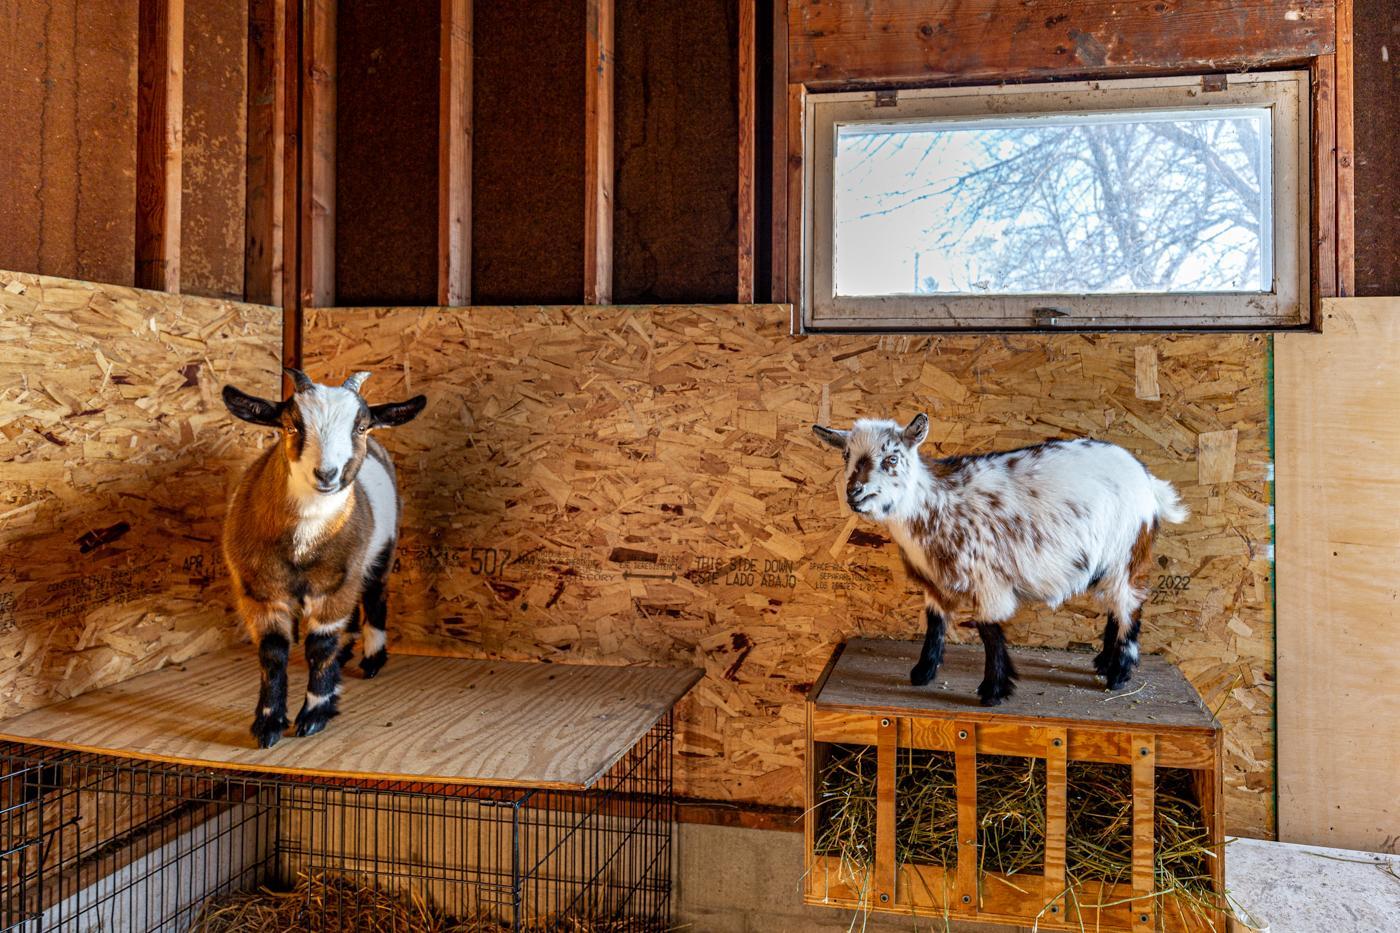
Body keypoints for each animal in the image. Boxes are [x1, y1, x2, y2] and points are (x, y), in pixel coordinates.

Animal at [222, 368, 426, 748]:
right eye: (291, 426)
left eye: (360, 427)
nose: (327, 474)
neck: (303, 545)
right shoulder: (259, 589)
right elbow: (273, 651)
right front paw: (268, 723)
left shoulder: (335, 586)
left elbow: (320, 645)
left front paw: (315, 714)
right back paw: (345, 655)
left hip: (380, 551)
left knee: (374, 596)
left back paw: (372, 660)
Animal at [813, 414, 1188, 706]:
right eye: (846, 454)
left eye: (891, 459)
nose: (854, 493)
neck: (936, 502)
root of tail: (1147, 479)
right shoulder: (936, 579)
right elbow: (935, 623)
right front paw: (923, 672)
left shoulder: (988, 577)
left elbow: (989, 630)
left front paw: (993, 690)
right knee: (1114, 605)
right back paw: (1104, 663)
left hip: (1127, 551)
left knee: (1129, 605)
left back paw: (1119, 674)